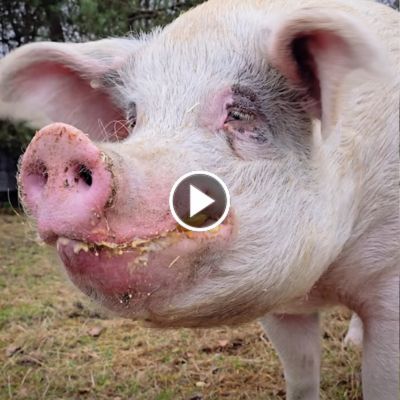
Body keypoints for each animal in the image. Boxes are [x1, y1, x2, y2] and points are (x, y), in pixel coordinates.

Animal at [0, 0, 398, 399]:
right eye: (133, 120)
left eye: (239, 114)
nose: (54, 141)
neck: (320, 281)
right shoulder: (280, 306)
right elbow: (301, 374)